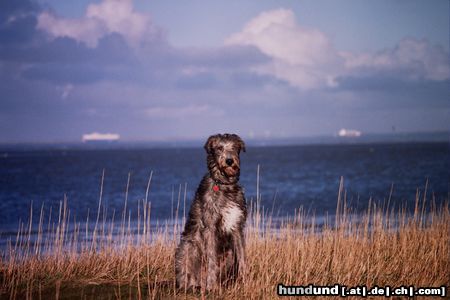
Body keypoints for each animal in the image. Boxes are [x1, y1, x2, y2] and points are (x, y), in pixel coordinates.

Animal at [175, 134, 246, 290]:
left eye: (234, 147)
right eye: (219, 148)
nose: (229, 161)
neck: (225, 185)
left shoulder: (237, 225)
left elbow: (243, 256)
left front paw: (247, 281)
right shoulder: (210, 226)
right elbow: (211, 257)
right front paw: (211, 286)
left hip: (229, 255)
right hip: (187, 248)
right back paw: (192, 285)